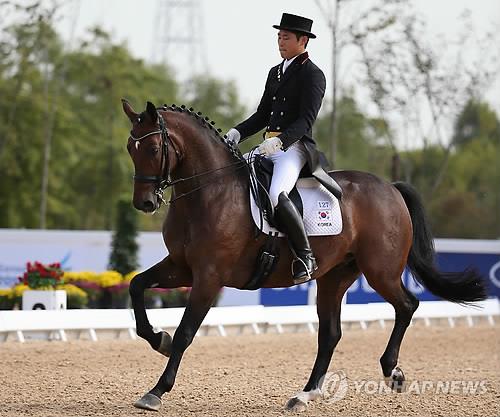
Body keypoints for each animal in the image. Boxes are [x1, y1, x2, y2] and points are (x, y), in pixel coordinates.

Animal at [123, 99, 486, 412]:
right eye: (130, 148)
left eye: (153, 149)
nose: (145, 203)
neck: (208, 193)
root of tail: (391, 188)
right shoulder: (182, 267)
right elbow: (137, 286)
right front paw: (158, 339)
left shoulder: (209, 276)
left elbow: (186, 332)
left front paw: (156, 391)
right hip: (335, 277)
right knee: (331, 334)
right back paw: (305, 394)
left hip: (380, 271)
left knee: (407, 305)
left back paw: (391, 371)